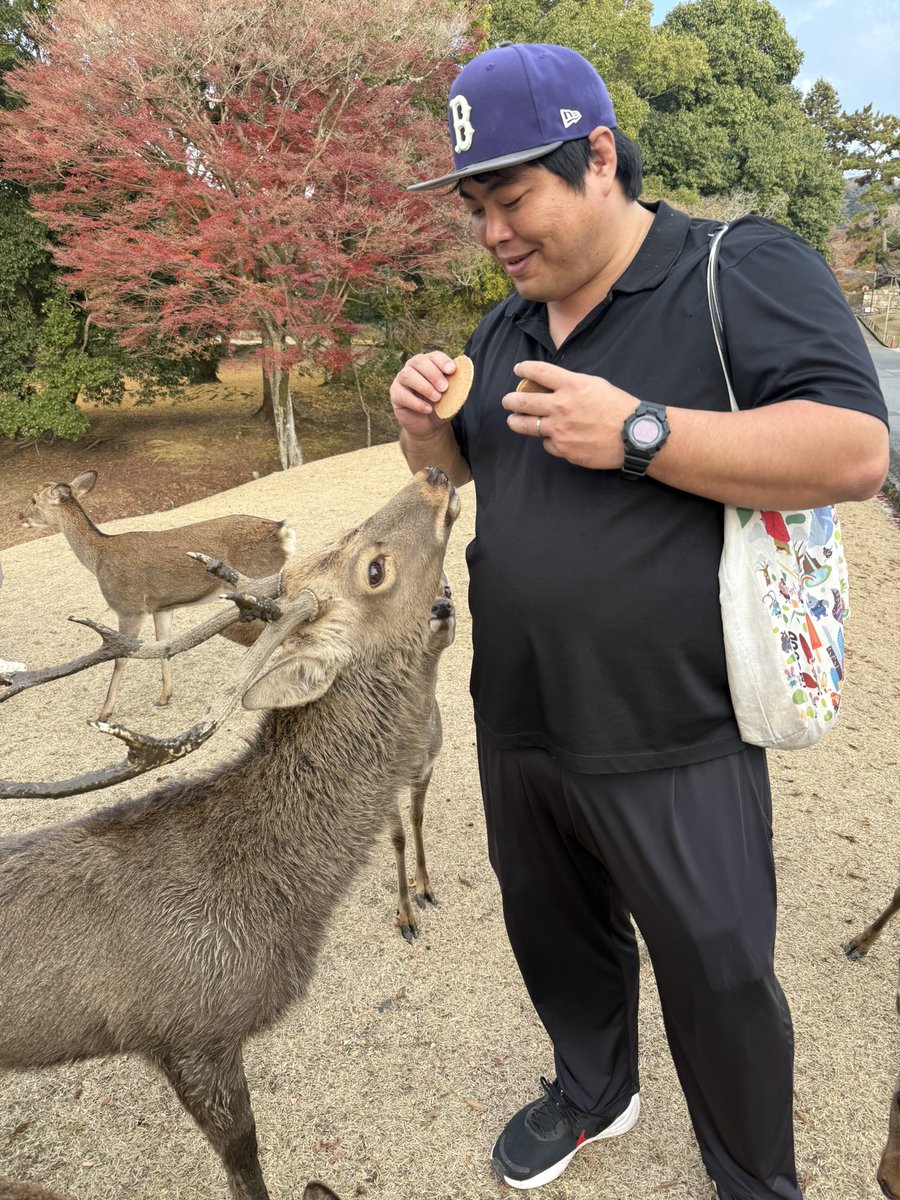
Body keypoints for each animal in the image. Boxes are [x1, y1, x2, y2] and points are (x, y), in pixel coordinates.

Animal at [18, 469, 296, 720]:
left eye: (34, 500)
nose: (19, 515)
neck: (97, 559)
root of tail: (283, 531)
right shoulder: (162, 607)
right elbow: (165, 645)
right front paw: (164, 696)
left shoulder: (129, 607)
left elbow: (122, 658)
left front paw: (105, 712)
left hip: (257, 578)